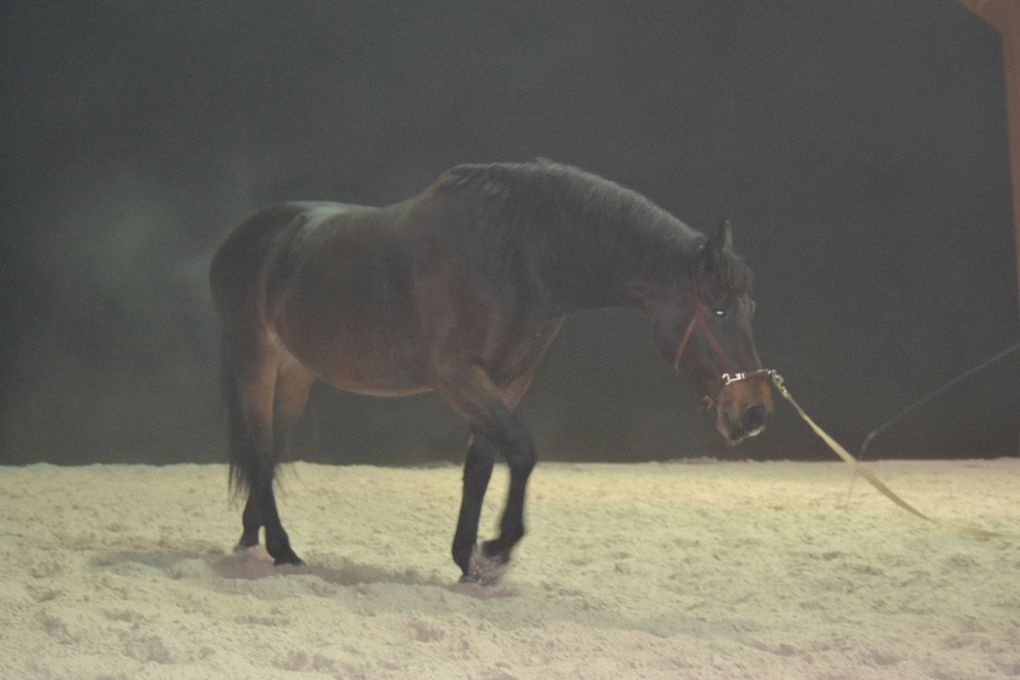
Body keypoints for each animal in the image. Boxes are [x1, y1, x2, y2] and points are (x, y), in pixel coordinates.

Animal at [213, 161, 771, 587]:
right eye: (720, 310)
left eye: (751, 307)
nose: (755, 411)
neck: (515, 255)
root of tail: (244, 236)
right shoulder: (458, 377)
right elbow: (521, 448)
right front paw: (496, 549)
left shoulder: (508, 379)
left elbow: (480, 464)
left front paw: (467, 559)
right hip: (256, 362)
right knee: (261, 449)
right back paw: (283, 550)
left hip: (295, 377)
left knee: (270, 451)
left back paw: (251, 537)